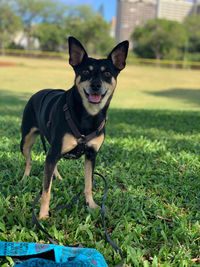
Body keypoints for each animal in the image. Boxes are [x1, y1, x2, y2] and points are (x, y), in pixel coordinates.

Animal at [20, 36, 129, 221]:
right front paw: (42, 215)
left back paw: (58, 177)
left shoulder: (91, 155)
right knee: (30, 160)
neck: (88, 115)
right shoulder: (55, 151)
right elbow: (46, 190)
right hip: (26, 141)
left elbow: (88, 184)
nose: (96, 85)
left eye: (107, 73)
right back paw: (25, 179)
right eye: (85, 72)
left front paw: (92, 205)